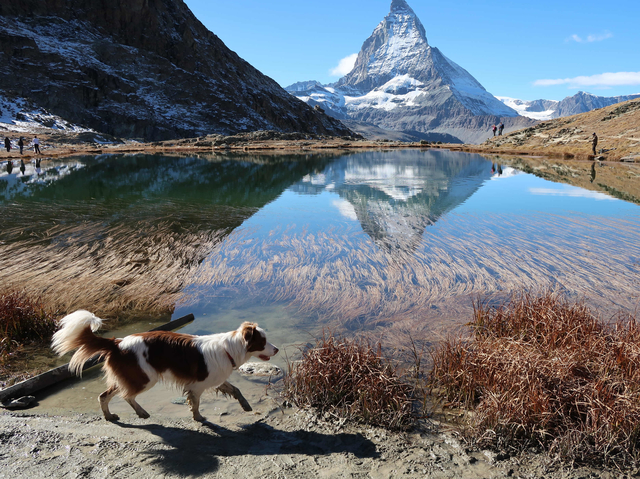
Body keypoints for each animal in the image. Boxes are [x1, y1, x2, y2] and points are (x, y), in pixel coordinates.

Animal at [52, 312, 278, 420]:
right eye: (263, 342)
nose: (276, 350)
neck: (229, 348)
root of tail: (117, 342)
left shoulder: (215, 379)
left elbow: (236, 389)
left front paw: (246, 405)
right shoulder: (197, 385)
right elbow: (196, 404)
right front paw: (198, 418)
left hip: (131, 376)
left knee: (104, 395)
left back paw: (110, 416)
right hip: (144, 378)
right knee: (127, 396)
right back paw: (140, 412)